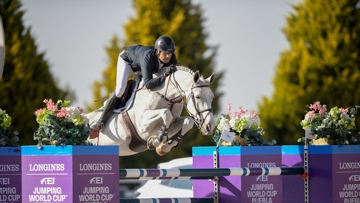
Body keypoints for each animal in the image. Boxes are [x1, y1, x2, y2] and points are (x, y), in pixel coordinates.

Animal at [86, 66, 215, 156]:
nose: (210, 127)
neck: (167, 96)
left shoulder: (174, 122)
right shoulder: (142, 125)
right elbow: (166, 113)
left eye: (212, 97)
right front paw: (157, 141)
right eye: (198, 97)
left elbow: (188, 121)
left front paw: (164, 147)